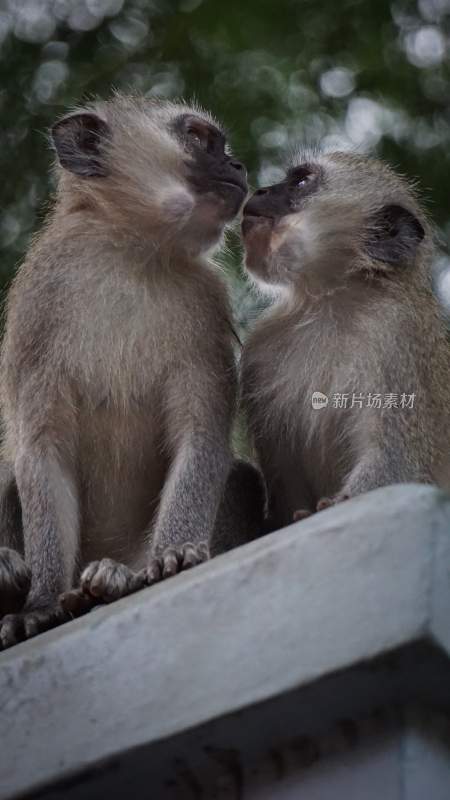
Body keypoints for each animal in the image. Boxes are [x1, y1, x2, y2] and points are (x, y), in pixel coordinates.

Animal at [0, 94, 264, 648]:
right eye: (200, 138)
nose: (237, 166)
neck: (132, 252)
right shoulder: (38, 302)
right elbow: (42, 451)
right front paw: (40, 603)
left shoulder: (206, 304)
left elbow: (200, 435)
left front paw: (174, 556)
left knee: (237, 478)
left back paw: (116, 580)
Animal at [241, 152, 450, 532]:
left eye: (301, 181)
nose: (260, 190)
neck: (328, 300)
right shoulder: (260, 350)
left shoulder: (396, 333)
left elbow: (395, 463)